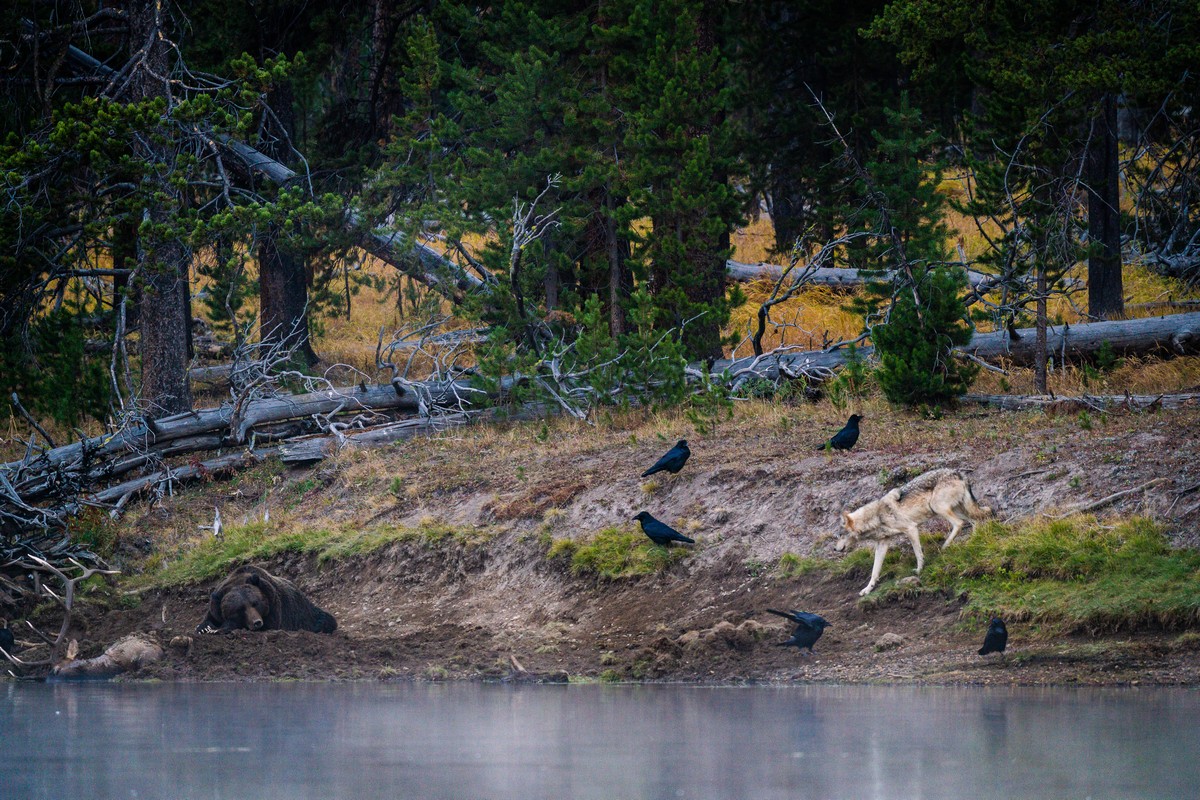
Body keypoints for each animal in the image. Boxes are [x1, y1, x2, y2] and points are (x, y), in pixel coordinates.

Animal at [195, 566, 338, 633]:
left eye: (255, 603)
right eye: (239, 609)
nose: (257, 622)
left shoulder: (275, 608)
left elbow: (270, 625)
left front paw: (224, 627)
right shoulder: (215, 608)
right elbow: (205, 622)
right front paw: (204, 628)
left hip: (303, 613)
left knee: (323, 620)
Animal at [830, 470, 988, 594]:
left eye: (840, 536)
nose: (835, 549)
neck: (876, 517)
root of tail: (958, 473)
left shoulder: (911, 529)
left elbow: (918, 554)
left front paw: (919, 570)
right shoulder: (882, 544)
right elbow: (874, 571)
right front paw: (868, 589)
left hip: (937, 508)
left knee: (959, 524)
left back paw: (945, 546)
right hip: (956, 510)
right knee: (974, 521)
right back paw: (972, 542)